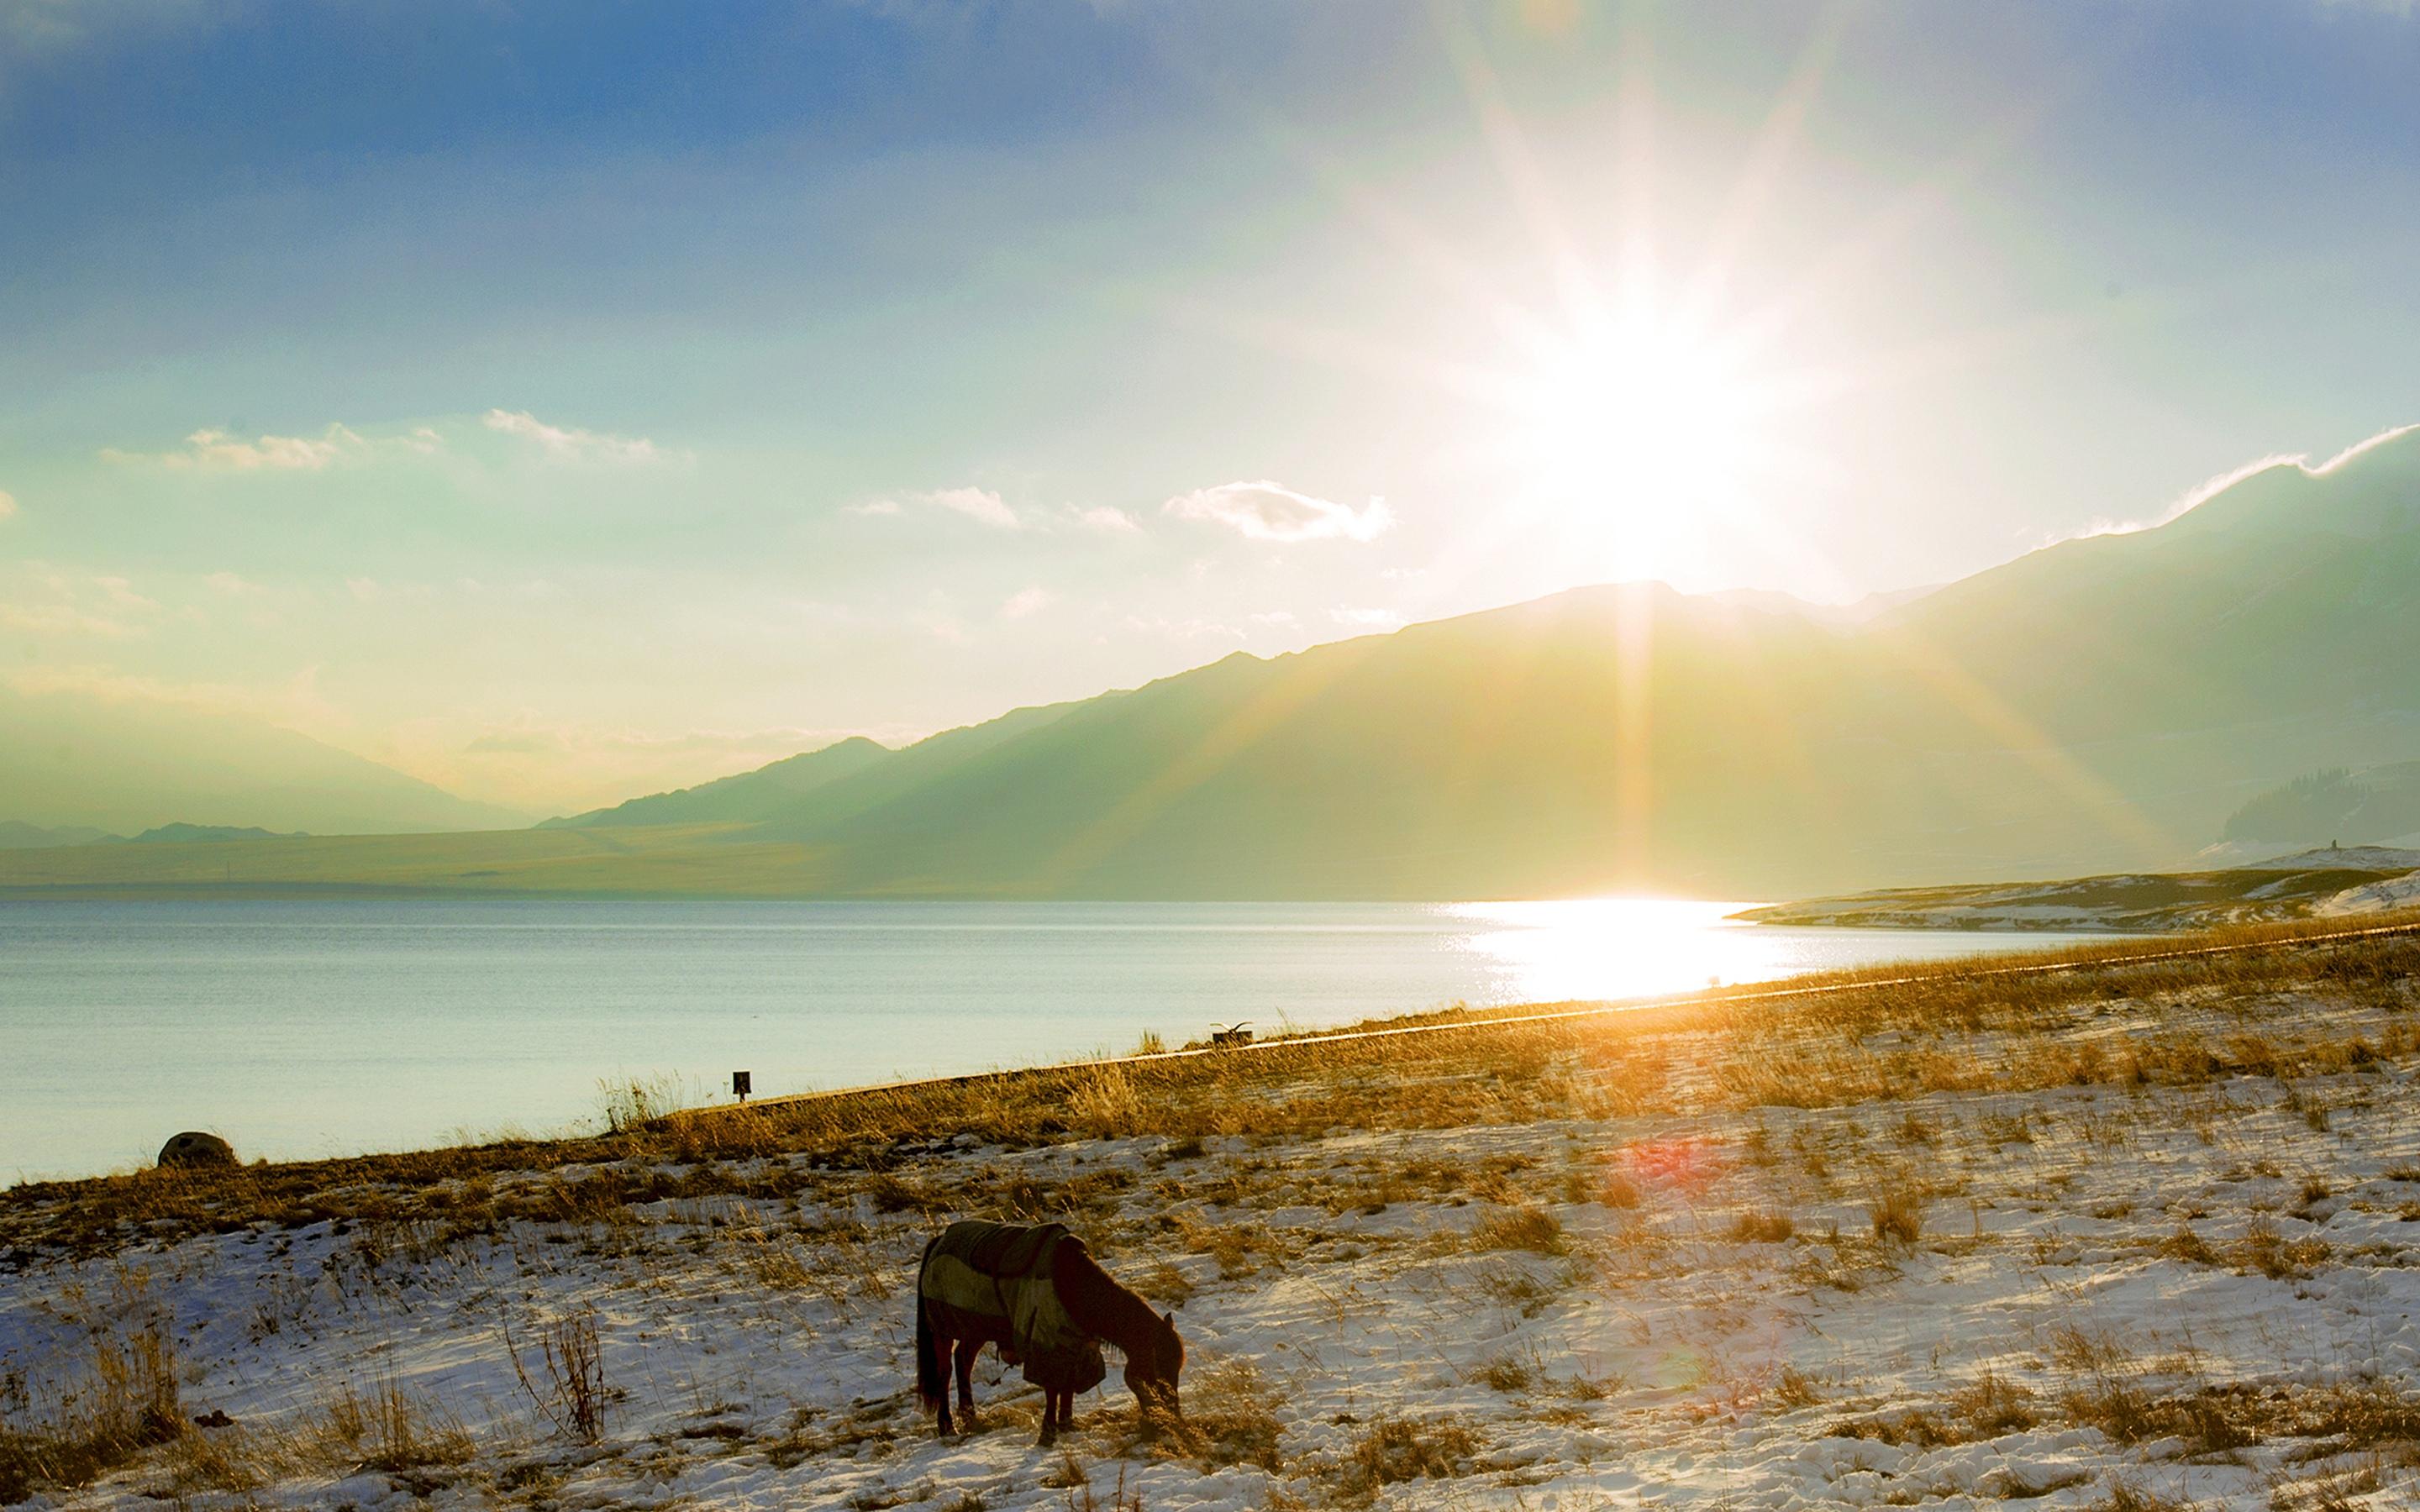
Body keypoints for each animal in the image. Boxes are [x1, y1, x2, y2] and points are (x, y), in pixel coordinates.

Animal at [914, 1219, 1181, 1441]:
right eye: (1156, 1373)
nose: (1172, 1417)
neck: (1072, 1284)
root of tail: (938, 1241)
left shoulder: (1074, 1346)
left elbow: (1068, 1386)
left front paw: (1067, 1423)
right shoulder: (1045, 1343)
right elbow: (1053, 1387)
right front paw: (1048, 1430)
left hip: (975, 1329)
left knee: (963, 1362)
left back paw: (970, 1417)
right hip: (943, 1330)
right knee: (945, 1371)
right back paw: (947, 1426)